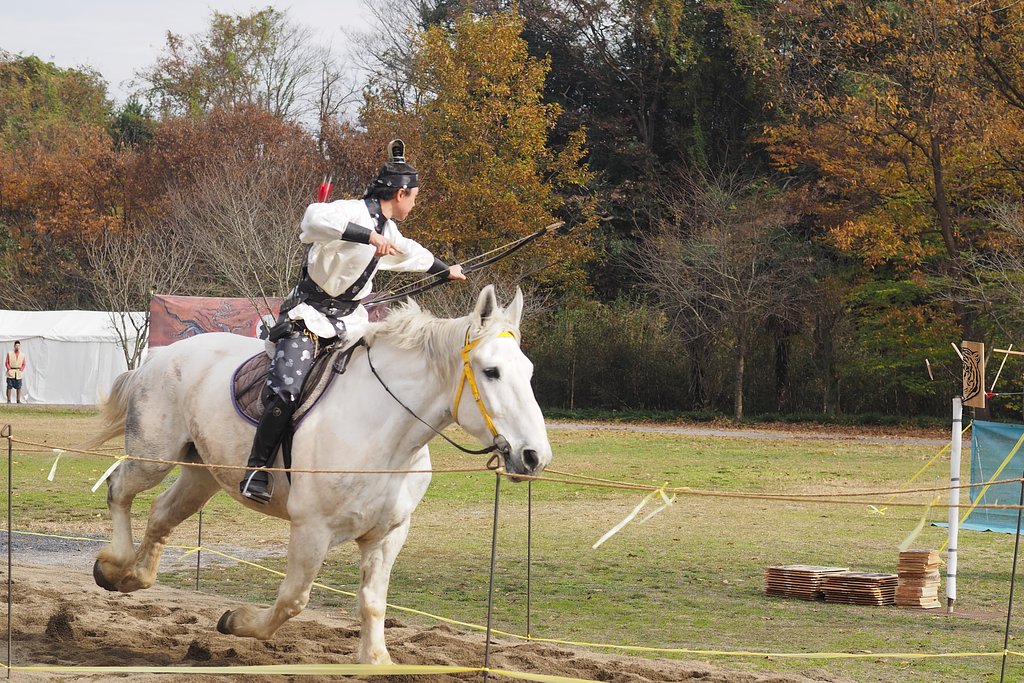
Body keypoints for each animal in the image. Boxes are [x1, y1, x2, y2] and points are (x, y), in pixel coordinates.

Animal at [86, 285, 551, 664]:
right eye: (491, 371)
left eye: (529, 372)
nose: (534, 457)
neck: (383, 432)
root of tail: (161, 356)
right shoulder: (312, 529)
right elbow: (293, 599)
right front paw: (236, 621)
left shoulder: (387, 534)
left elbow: (372, 601)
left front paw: (375, 659)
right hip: (154, 458)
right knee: (119, 490)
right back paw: (114, 565)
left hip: (202, 474)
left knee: (162, 513)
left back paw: (132, 577)